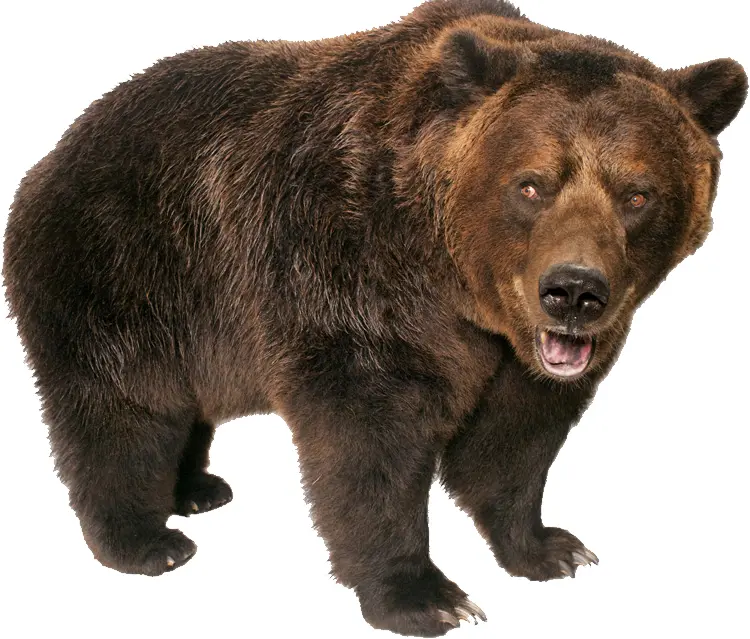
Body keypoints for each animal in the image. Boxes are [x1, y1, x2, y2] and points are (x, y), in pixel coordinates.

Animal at [2, 0, 746, 636]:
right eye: (532, 184)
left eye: (638, 194)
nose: (573, 290)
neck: (458, 282)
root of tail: (51, 153)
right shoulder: (349, 271)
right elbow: (371, 440)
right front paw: (425, 595)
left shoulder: (520, 353)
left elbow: (515, 437)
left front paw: (550, 547)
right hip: (124, 271)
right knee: (124, 411)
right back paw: (146, 539)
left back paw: (198, 488)